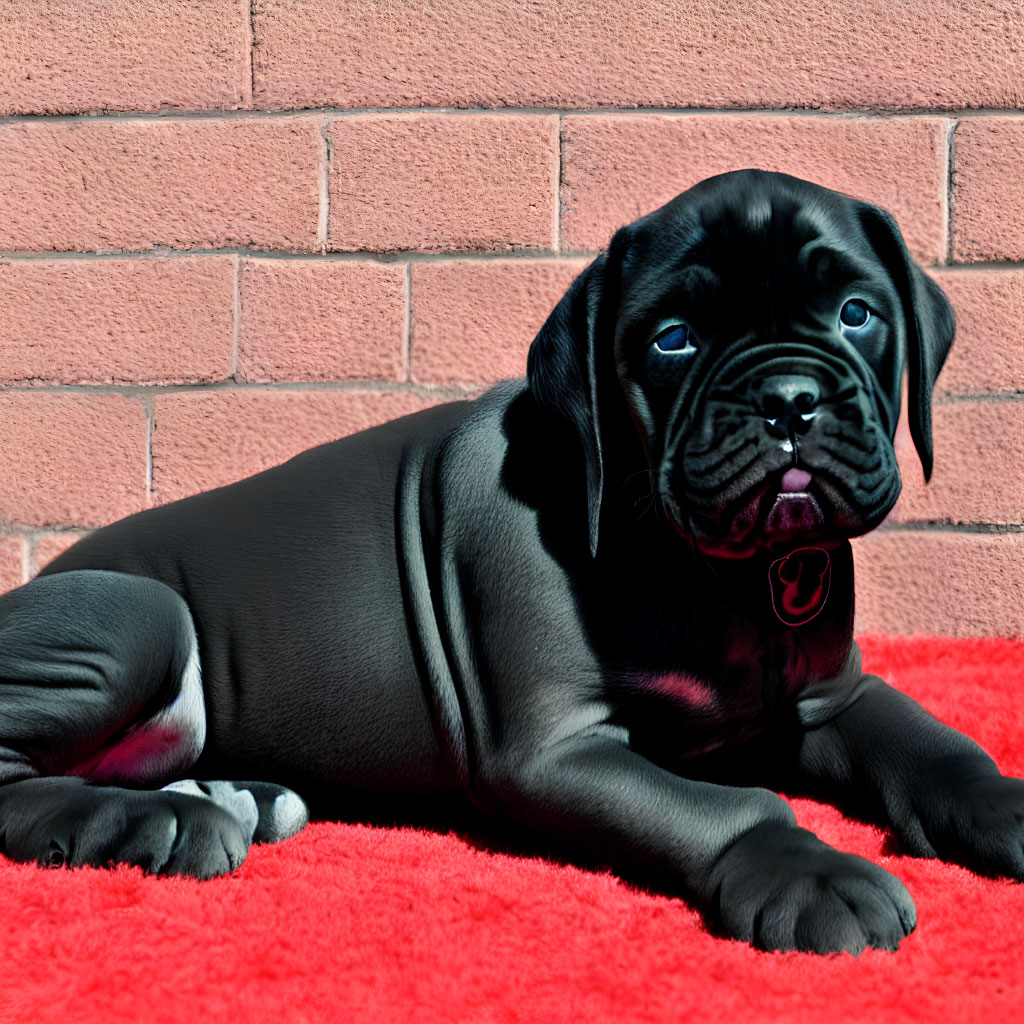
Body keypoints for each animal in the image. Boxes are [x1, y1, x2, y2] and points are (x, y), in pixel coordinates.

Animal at [2, 167, 1024, 950]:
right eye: (673, 339)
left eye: (856, 314)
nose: (789, 398)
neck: (719, 570)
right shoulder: (552, 749)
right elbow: (734, 808)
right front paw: (809, 875)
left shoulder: (828, 697)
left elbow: (936, 747)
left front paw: (1004, 804)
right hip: (139, 614)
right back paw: (165, 819)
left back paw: (237, 795)